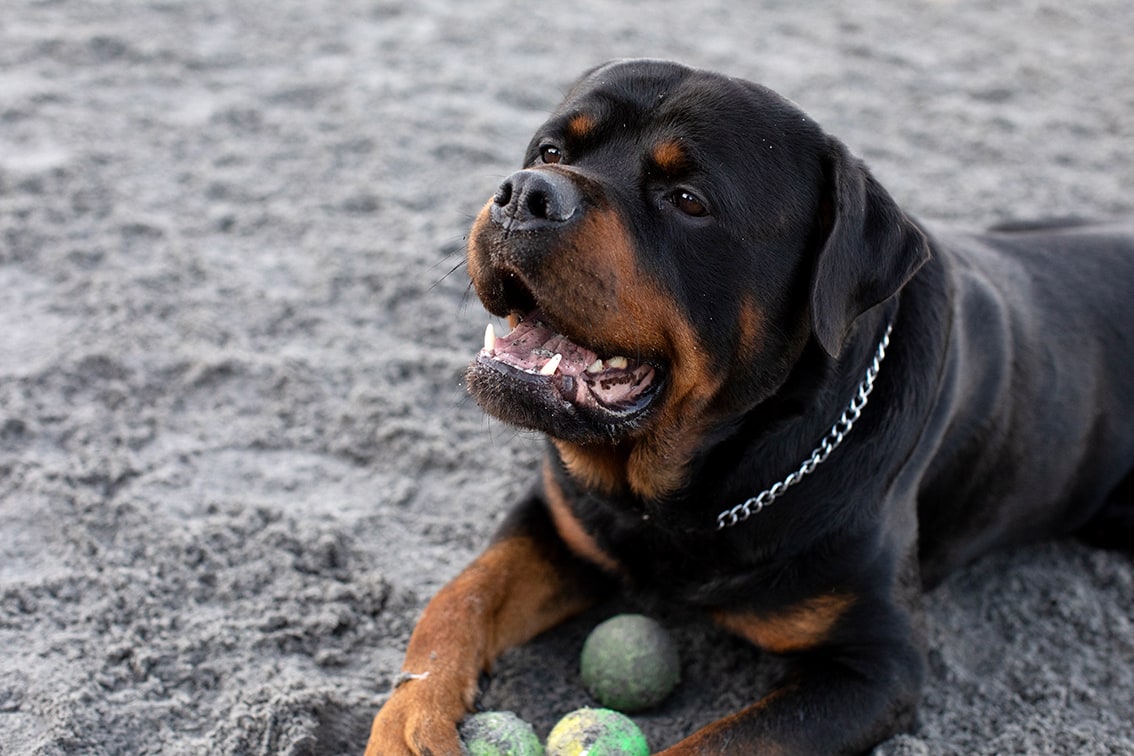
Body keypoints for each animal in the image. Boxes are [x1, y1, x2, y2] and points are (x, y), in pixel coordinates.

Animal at [369, 60, 1134, 756]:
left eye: (687, 199)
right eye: (552, 152)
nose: (525, 192)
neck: (678, 494)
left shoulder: (874, 667)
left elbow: (719, 744)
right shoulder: (557, 518)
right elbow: (458, 599)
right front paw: (409, 722)